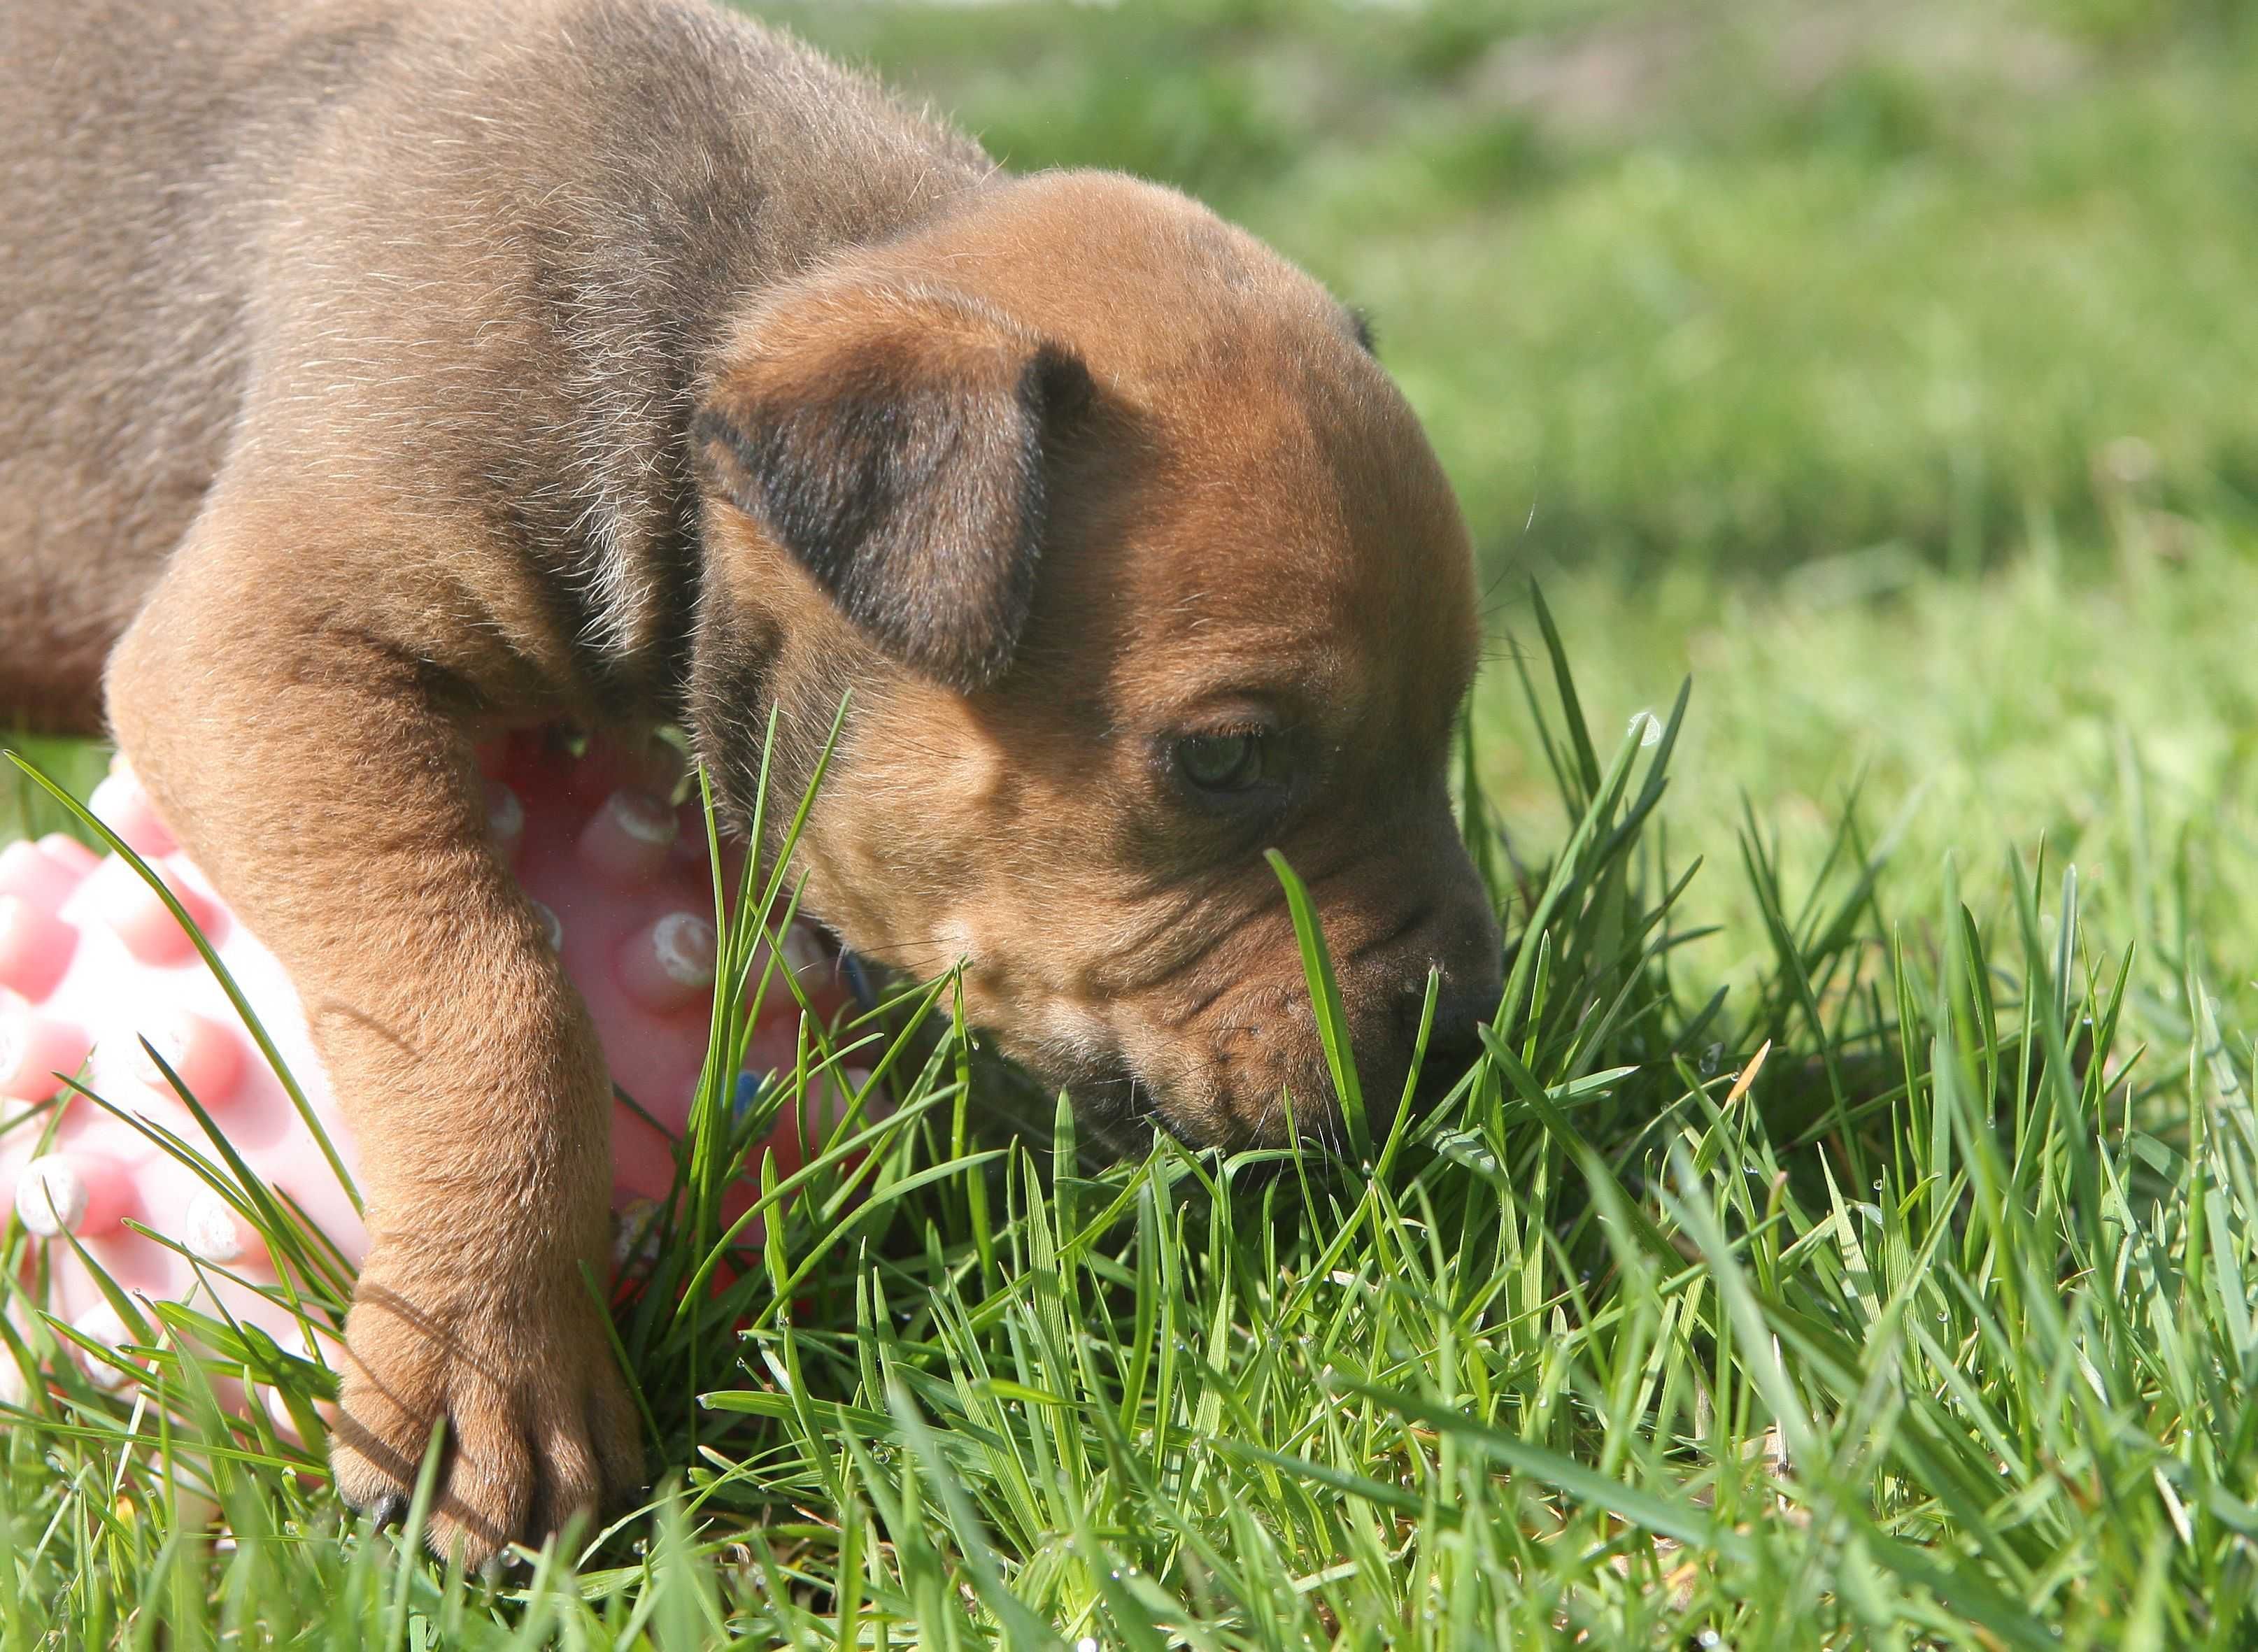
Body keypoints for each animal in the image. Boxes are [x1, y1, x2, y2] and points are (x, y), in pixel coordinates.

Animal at [8, 0, 1508, 1561]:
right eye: (1221, 757)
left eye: (1444, 723)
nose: (1464, 1027)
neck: (708, 322)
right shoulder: (262, 648)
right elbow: (488, 989)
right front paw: (486, 1371)